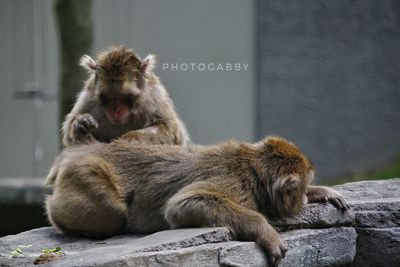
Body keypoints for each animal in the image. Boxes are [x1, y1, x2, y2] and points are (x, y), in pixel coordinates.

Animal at [46, 137, 346, 266]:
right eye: (300, 187)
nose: (304, 196)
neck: (254, 170)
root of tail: (72, 155)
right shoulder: (236, 184)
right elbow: (181, 206)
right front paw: (265, 231)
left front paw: (321, 192)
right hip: (83, 174)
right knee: (115, 212)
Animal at [61, 45, 189, 148]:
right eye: (107, 96)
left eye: (126, 96)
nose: (115, 110)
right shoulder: (89, 96)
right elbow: (69, 136)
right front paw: (80, 123)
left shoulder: (154, 96)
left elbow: (172, 130)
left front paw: (132, 137)